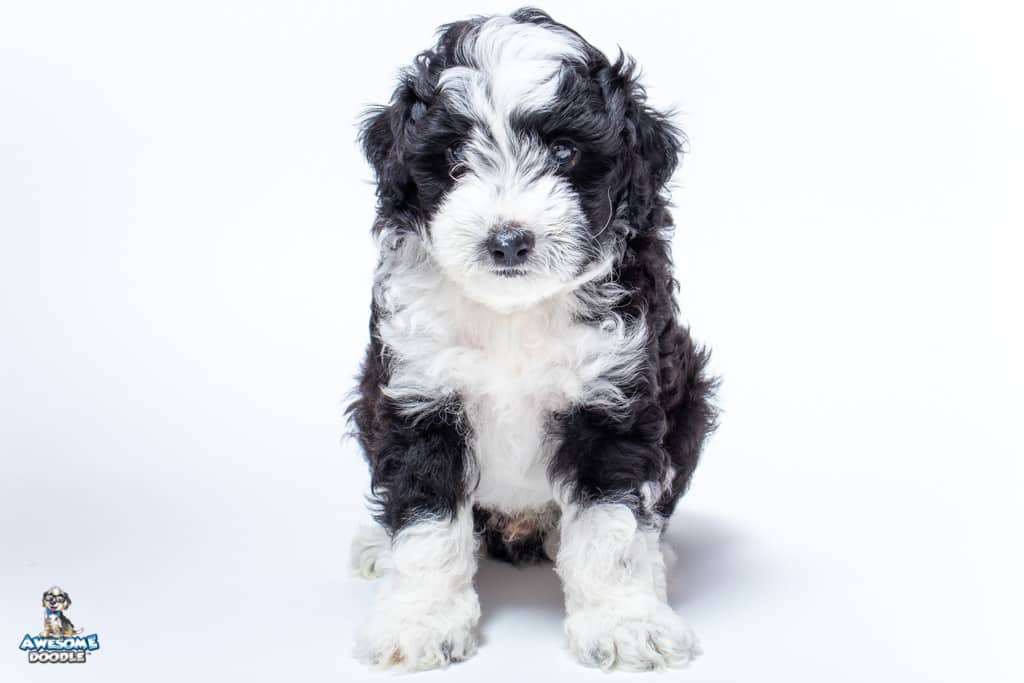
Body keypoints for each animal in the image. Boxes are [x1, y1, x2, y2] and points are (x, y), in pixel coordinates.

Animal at [348, 6, 716, 671]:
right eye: (453, 154)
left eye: (565, 151)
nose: (507, 241)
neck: (511, 314)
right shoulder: (417, 394)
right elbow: (424, 518)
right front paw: (419, 620)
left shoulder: (613, 399)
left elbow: (611, 527)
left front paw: (625, 623)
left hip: (689, 402)